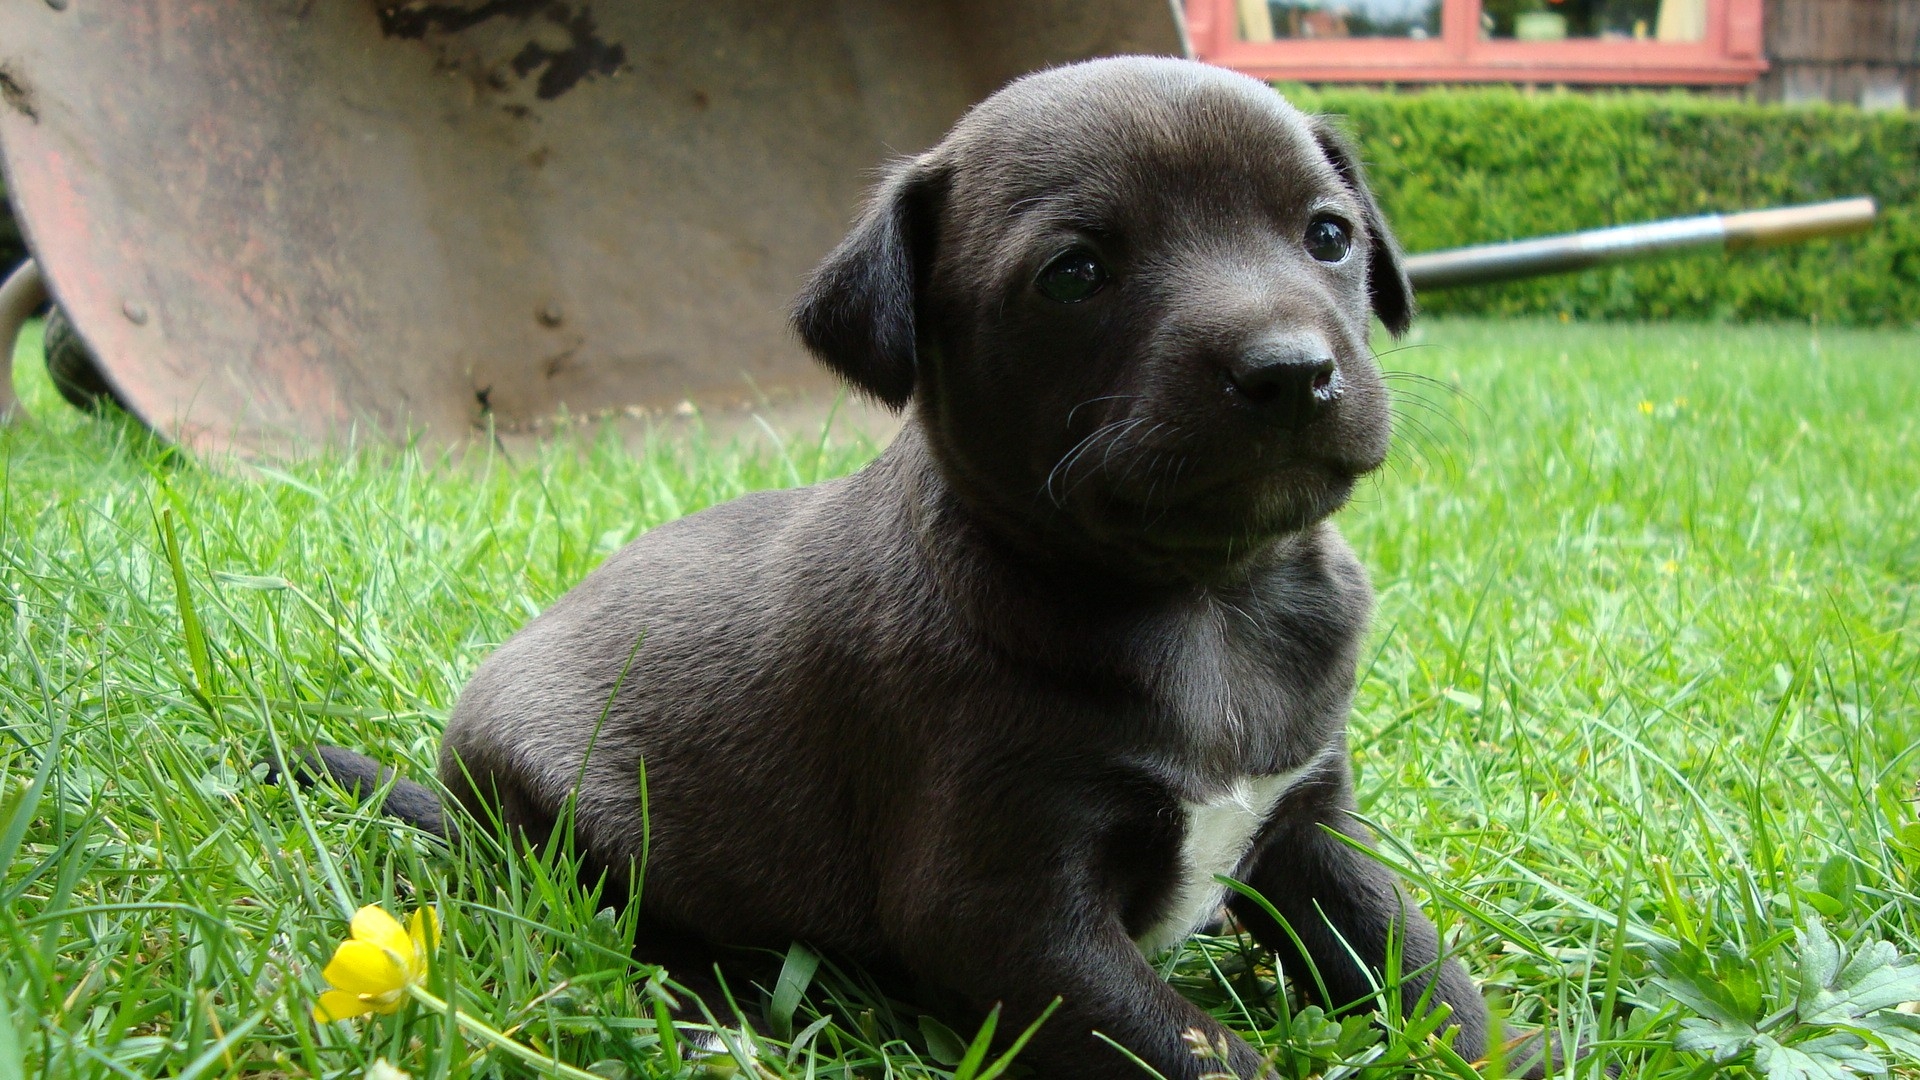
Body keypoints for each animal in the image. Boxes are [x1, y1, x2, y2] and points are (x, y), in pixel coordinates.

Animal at [330, 58, 1528, 1076]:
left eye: (1329, 235)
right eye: (1074, 275)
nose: (1289, 372)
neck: (1209, 600)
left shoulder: (1311, 830)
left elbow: (1423, 966)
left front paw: (1513, 1052)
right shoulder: (1008, 912)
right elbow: (1199, 1052)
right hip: (569, 826)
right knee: (631, 933)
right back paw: (720, 1025)